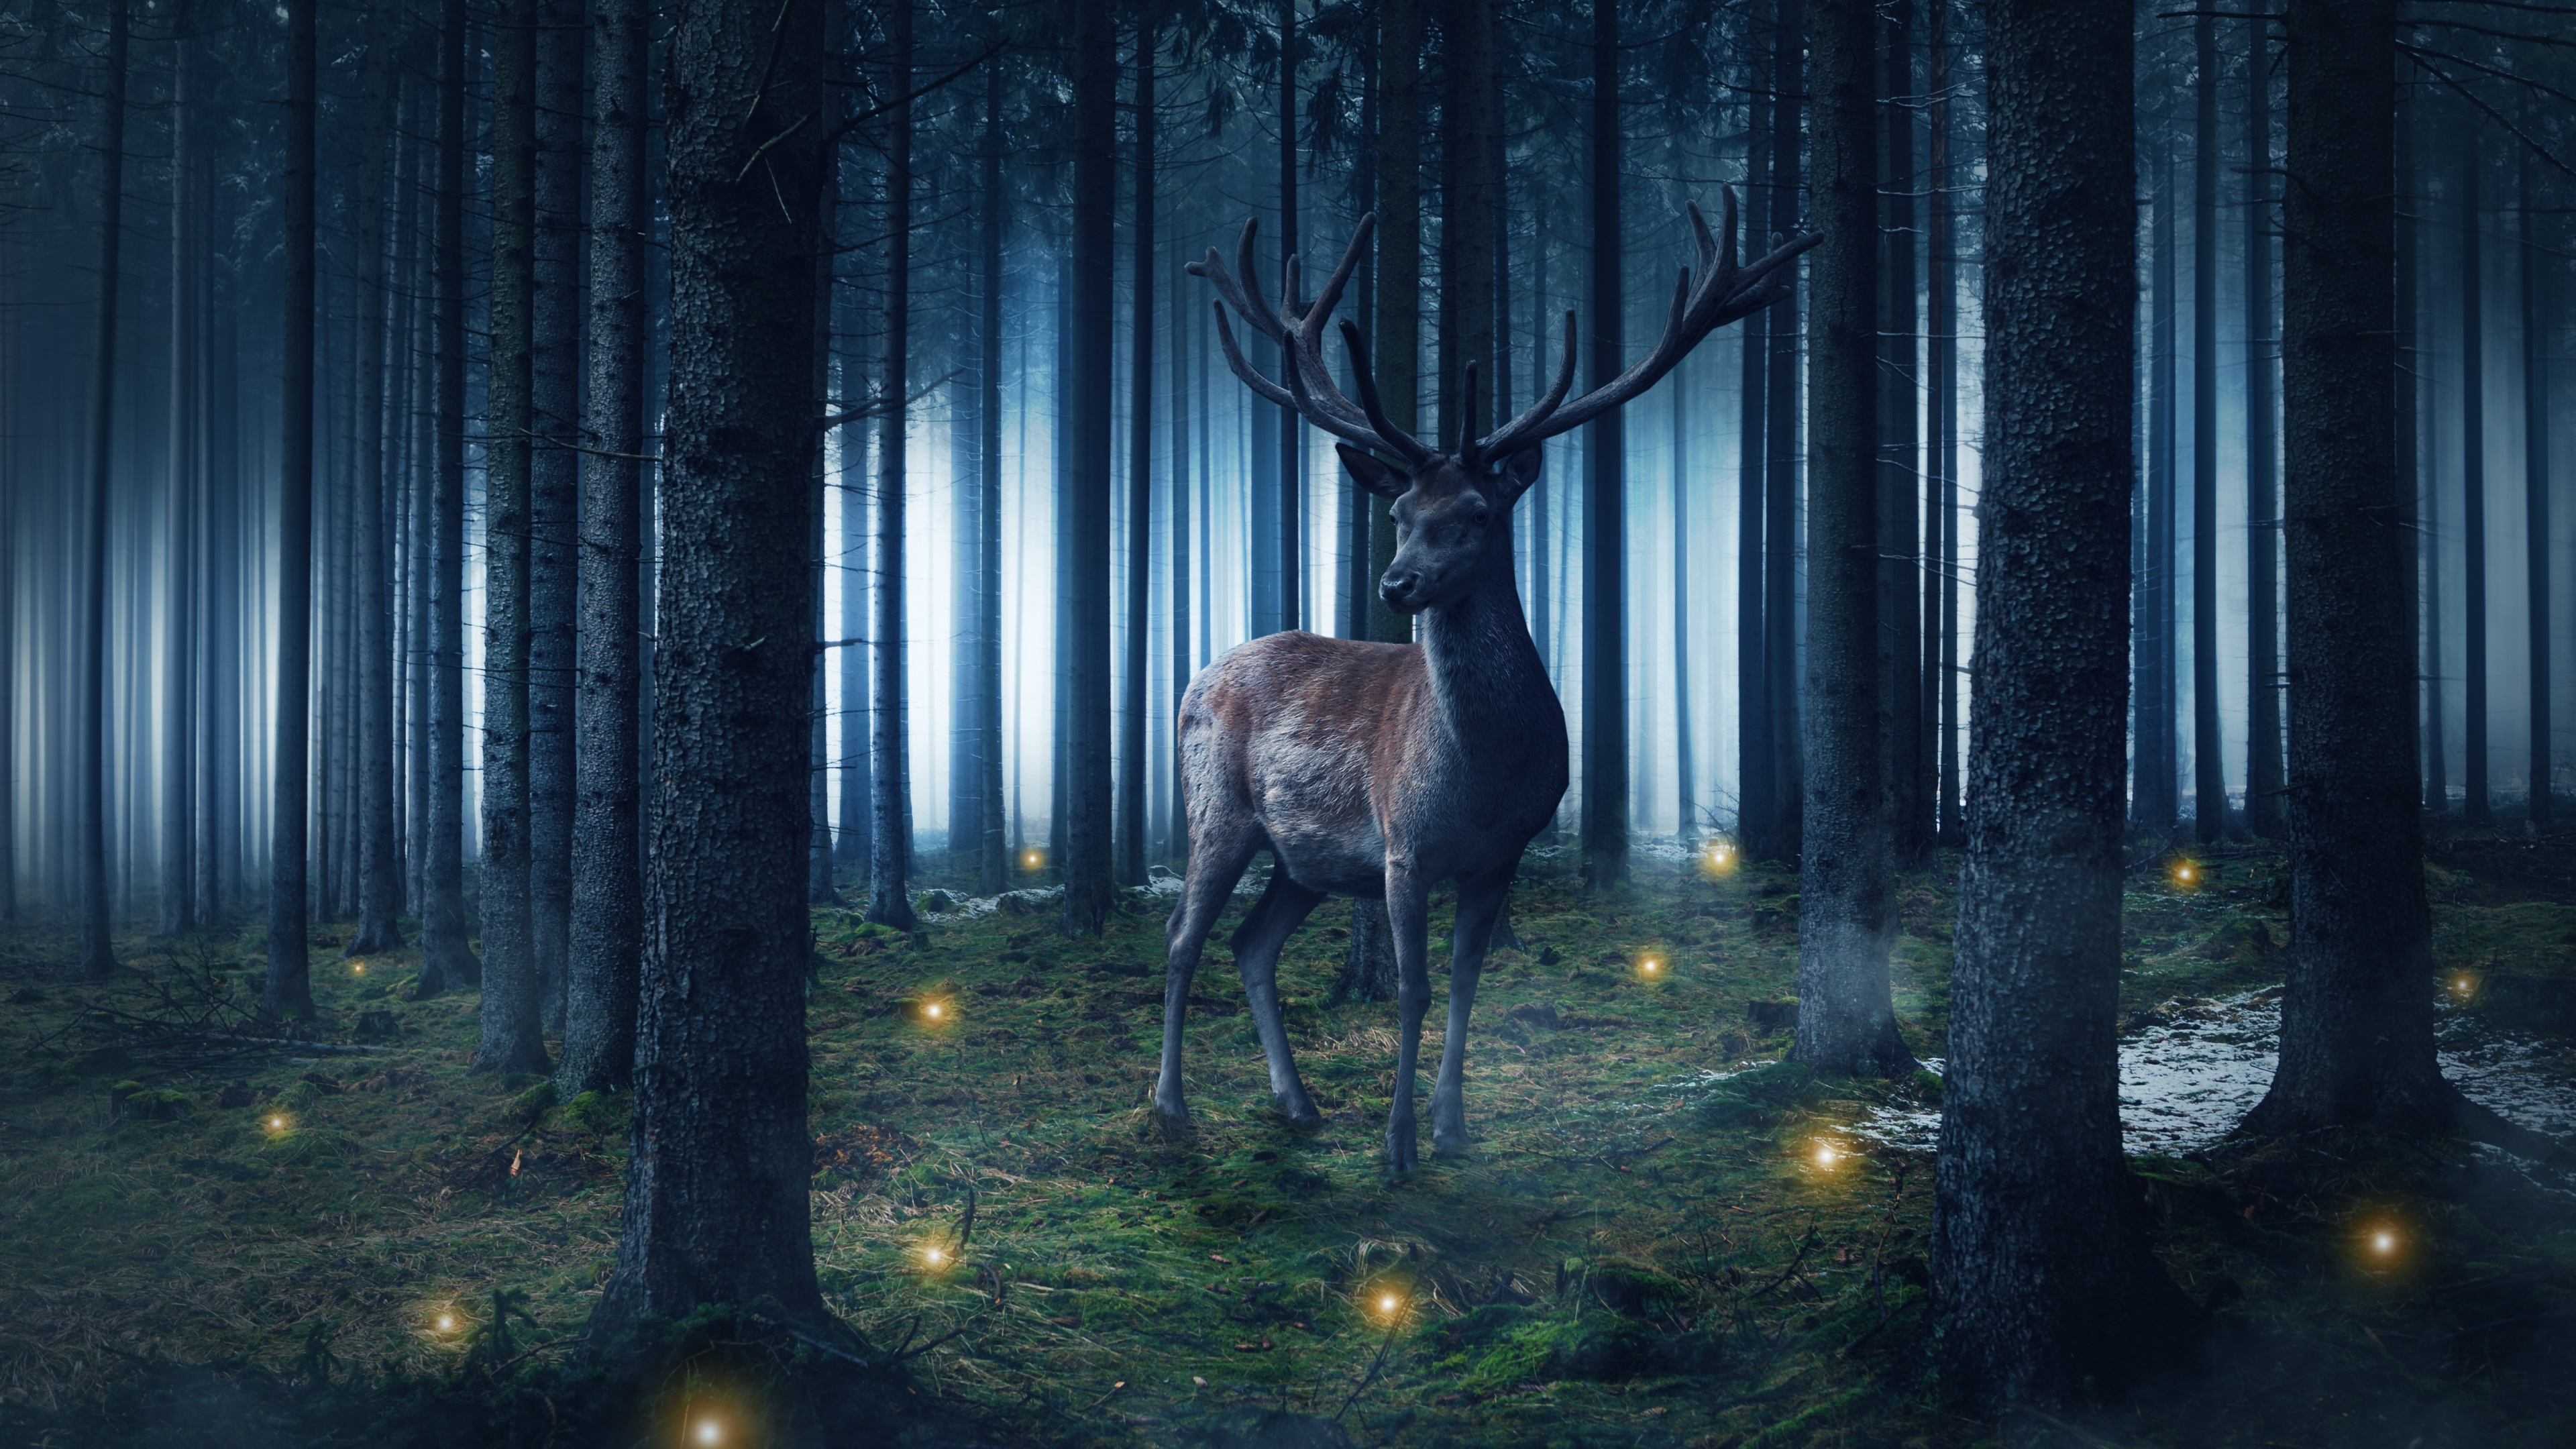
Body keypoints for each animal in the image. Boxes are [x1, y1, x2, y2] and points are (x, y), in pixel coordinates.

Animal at [1156, 193, 1817, 1171]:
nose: (1396, 584)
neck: (1484, 777)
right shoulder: (1403, 845)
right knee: (1182, 938)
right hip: (1218, 811)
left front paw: (1452, 1128)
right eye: (1398, 510)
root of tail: (1195, 678)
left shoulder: (1504, 853)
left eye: (1476, 512)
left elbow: (1468, 984)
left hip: (1303, 859)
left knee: (1250, 945)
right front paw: (1397, 1148)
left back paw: (1299, 1104)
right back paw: (1170, 1106)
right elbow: (1414, 989)